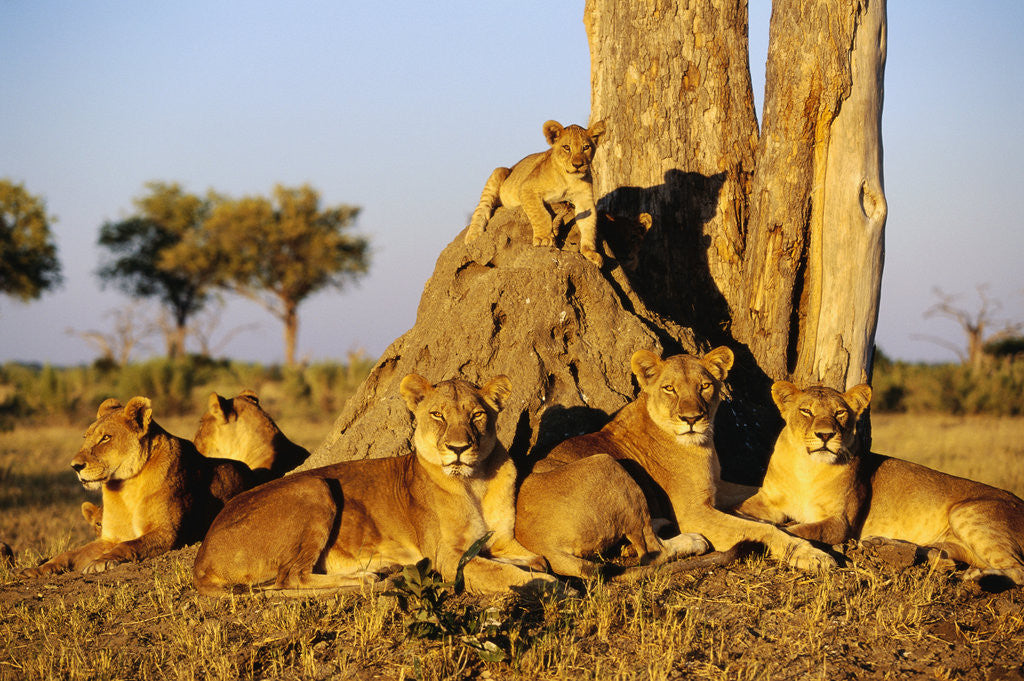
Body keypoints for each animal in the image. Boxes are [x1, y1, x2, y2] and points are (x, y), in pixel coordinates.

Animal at [20, 397, 258, 577]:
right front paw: (39, 569)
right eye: (85, 437)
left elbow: (128, 545)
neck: (126, 486)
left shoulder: (166, 533)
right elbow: (70, 553)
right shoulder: (108, 537)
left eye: (106, 438)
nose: (75, 466)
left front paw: (100, 562)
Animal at [193, 374, 556, 595]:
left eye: (477, 415)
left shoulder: (502, 541)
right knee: (289, 578)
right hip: (315, 486)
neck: (474, 482)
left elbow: (536, 559)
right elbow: (512, 576)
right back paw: (366, 576)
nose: (458, 448)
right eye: (437, 415)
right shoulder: (447, 557)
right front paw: (551, 586)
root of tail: (201, 557)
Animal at [464, 119, 607, 266]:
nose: (578, 165)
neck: (570, 179)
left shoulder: (585, 200)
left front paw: (590, 252)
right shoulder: (527, 187)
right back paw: (473, 235)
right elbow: (540, 214)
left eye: (586, 147)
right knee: (481, 207)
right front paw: (544, 238)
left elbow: (589, 224)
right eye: (567, 147)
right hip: (499, 171)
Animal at [523, 348, 836, 573]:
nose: (692, 419)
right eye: (669, 389)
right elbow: (761, 529)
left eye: (705, 386)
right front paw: (810, 554)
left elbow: (757, 494)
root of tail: (536, 542)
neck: (701, 445)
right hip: (607, 464)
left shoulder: (715, 486)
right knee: (651, 552)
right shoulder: (693, 512)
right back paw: (691, 541)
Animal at [736, 382, 1024, 585]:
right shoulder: (766, 500)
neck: (806, 467)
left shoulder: (841, 523)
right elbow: (740, 510)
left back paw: (982, 578)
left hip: (966, 512)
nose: (825, 435)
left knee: (1019, 569)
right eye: (806, 411)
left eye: (840, 413)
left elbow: (800, 529)